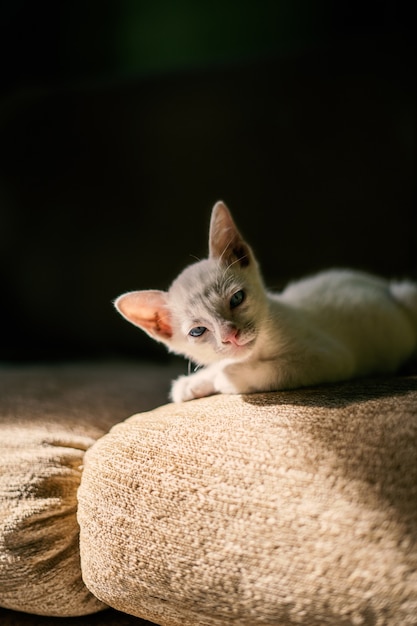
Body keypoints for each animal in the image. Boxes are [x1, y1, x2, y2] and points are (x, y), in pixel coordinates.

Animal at [114, 202, 416, 402]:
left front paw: (223, 377)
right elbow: (218, 364)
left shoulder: (330, 357)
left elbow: (264, 371)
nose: (230, 335)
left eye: (237, 298)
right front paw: (192, 383)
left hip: (406, 294)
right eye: (198, 331)